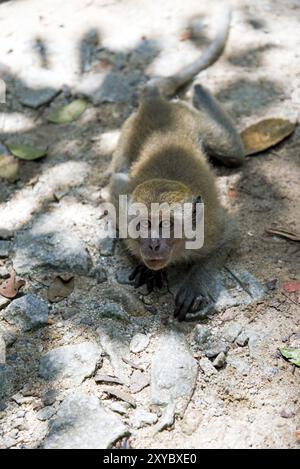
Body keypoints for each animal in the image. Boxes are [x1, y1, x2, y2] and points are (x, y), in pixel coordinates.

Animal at [109, 7, 245, 320]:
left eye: (168, 225)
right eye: (143, 225)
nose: (153, 243)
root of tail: (157, 104)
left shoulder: (211, 227)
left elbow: (230, 235)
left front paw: (194, 284)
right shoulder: (124, 216)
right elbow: (118, 189)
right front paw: (147, 270)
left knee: (233, 152)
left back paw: (200, 91)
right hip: (128, 132)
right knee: (119, 174)